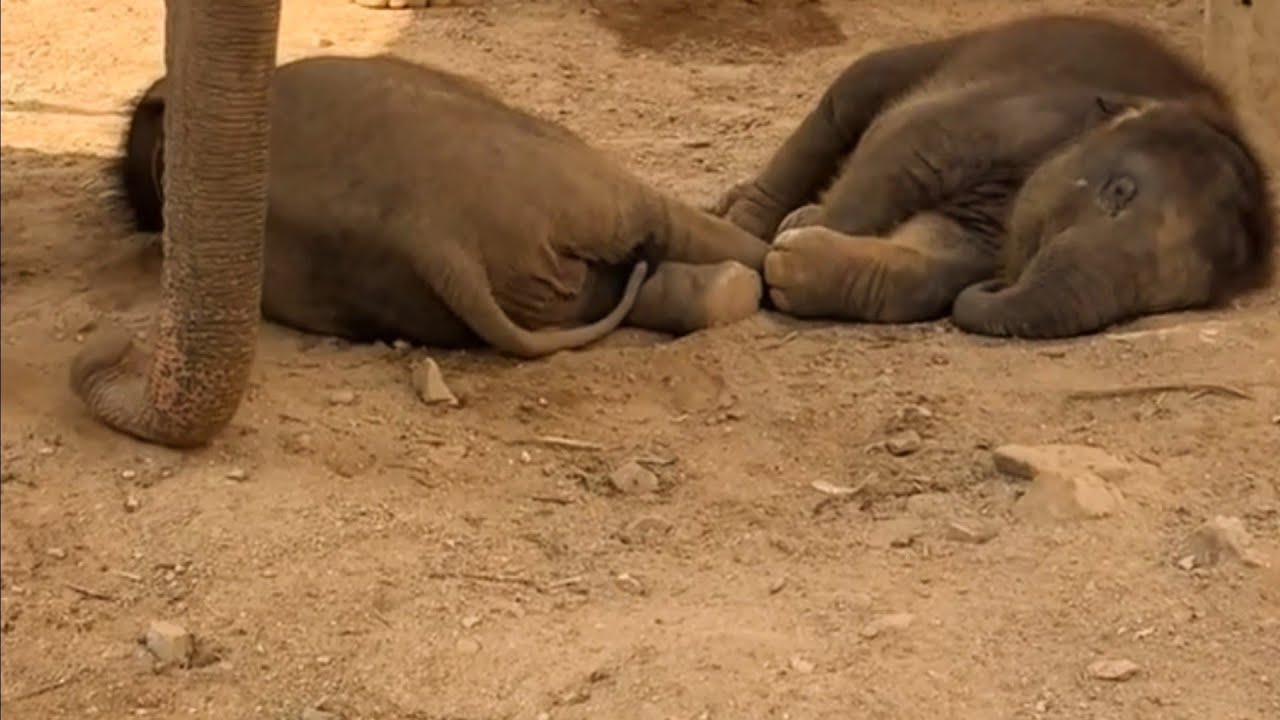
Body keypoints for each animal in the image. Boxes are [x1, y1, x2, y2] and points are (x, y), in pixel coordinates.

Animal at [712, 14, 1276, 339]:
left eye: (1176, 302)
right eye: (1119, 191)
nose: (1000, 282)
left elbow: (937, 256)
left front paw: (793, 264)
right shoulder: (1016, 113)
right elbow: (905, 146)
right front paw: (791, 235)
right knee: (848, 99)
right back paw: (746, 217)